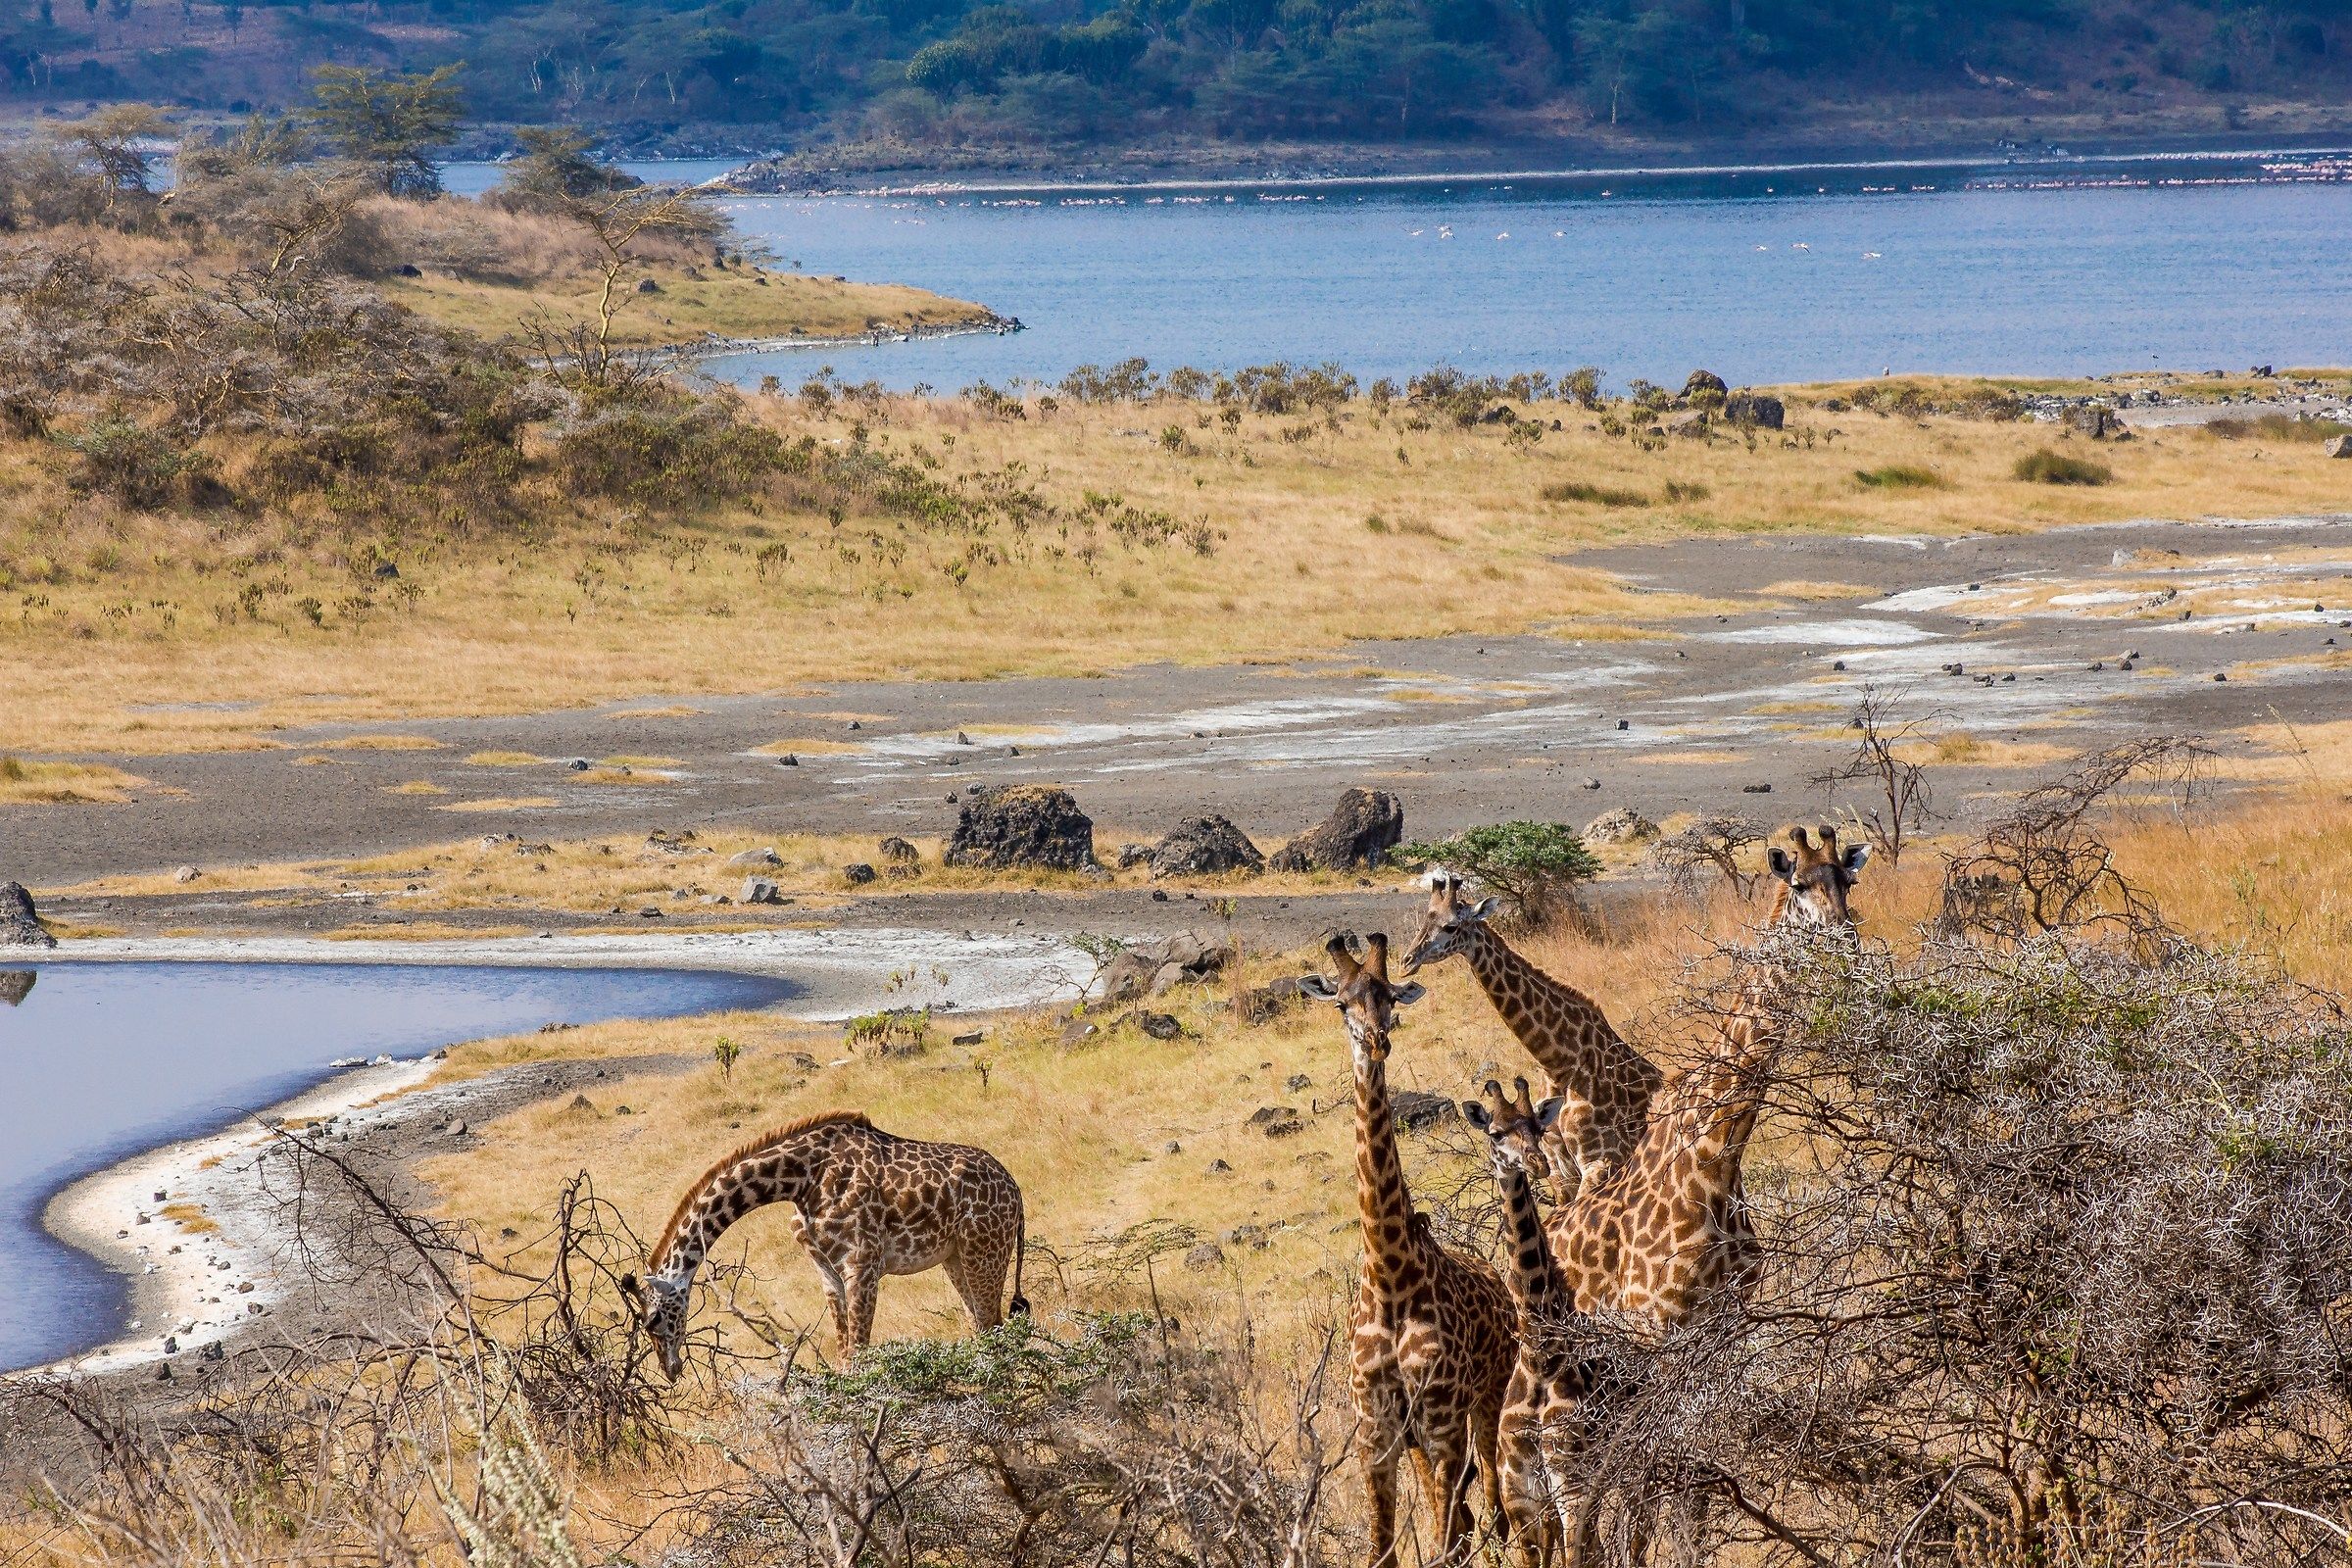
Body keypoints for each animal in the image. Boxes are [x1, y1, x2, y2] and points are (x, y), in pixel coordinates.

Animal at [620, 1109, 1027, 1376]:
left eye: (654, 1319)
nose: (671, 1369)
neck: (801, 1180)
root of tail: (1016, 1192)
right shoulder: (827, 1271)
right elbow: (843, 1352)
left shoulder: (862, 1264)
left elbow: (857, 1356)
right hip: (956, 1257)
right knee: (981, 1325)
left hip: (984, 1251)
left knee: (994, 1326)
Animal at [1300, 932, 1518, 1568]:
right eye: (1341, 1003)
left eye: (1391, 996)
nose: (1377, 1040)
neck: (1389, 1276)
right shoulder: (1377, 1433)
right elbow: (1384, 1549)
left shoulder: (1442, 1424)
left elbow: (1446, 1540)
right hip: (1422, 1436)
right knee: (1469, 1515)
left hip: (1485, 1400)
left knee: (1492, 1506)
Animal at [1402, 868, 1662, 1203]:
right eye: (1424, 921)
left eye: (1451, 926)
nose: (1406, 961)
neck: (1560, 1062)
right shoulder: (1558, 1169)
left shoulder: (1601, 1160)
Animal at [1462, 1077, 1606, 1568]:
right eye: (1495, 1133)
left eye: (1536, 1127)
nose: (1537, 1163)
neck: (1541, 1356)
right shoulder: (1521, 1497)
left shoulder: (1572, 1488)